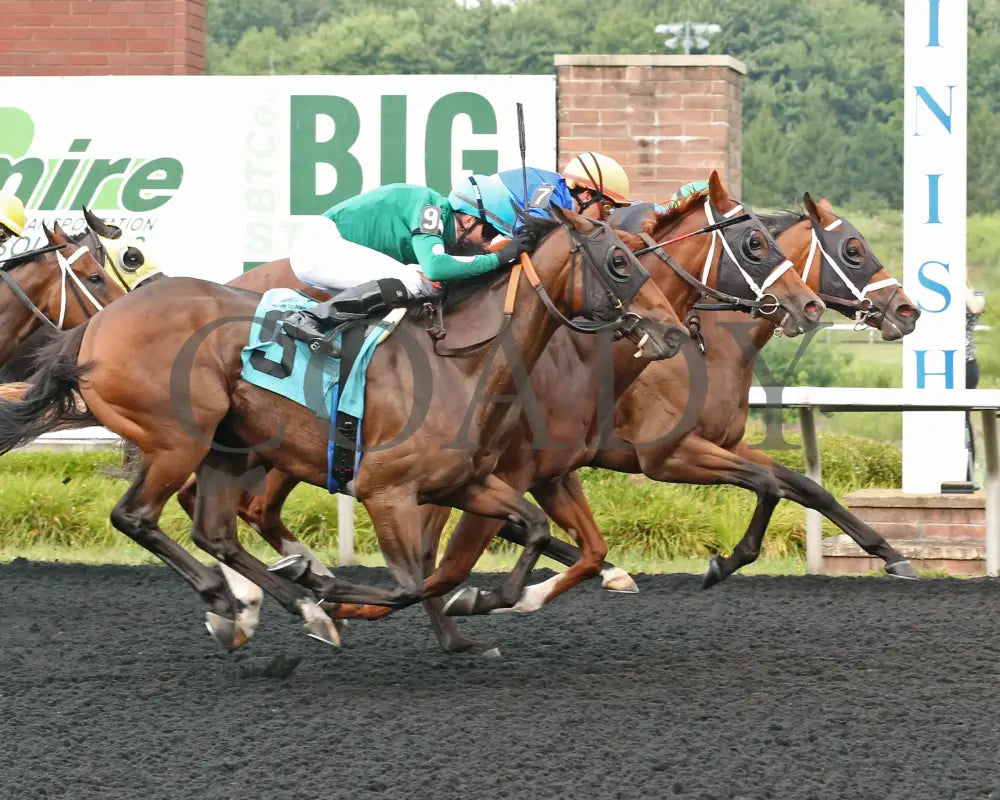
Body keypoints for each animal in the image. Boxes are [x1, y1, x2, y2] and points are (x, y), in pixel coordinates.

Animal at [0, 206, 688, 648]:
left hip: (225, 444)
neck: (462, 361)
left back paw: (288, 602)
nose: (675, 331)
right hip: (178, 438)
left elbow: (520, 536)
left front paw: (477, 608)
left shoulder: (464, 482)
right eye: (619, 262)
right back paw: (246, 598)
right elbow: (411, 582)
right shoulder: (386, 491)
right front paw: (339, 593)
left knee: (214, 530)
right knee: (137, 517)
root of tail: (97, 325)